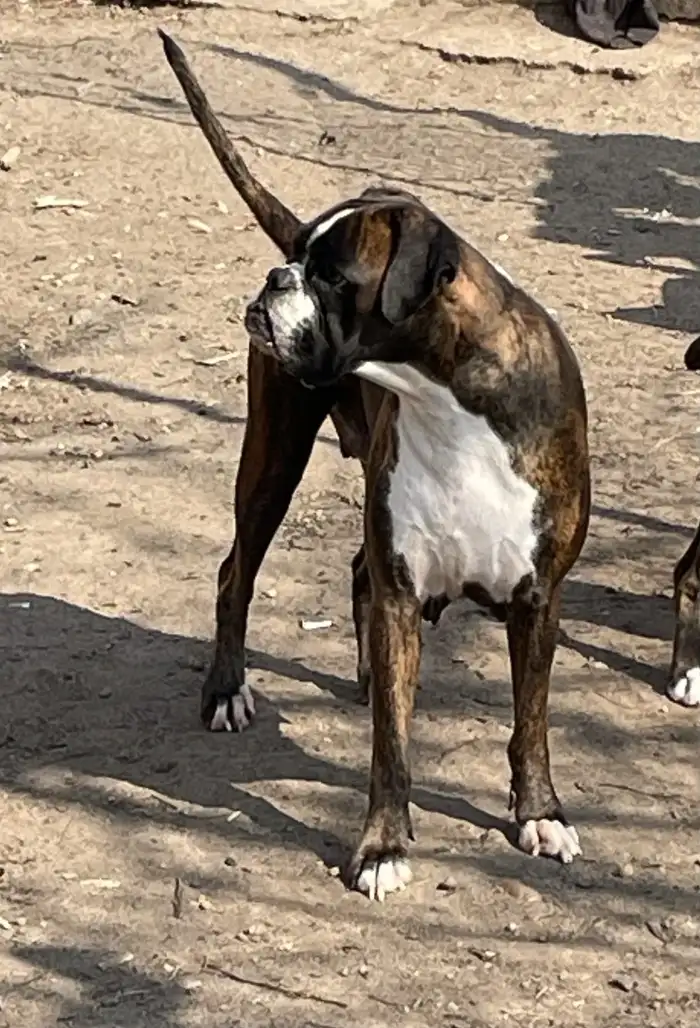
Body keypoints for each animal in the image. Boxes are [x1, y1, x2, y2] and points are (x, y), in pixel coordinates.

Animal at [160, 31, 591, 901]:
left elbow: (530, 721)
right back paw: (227, 689)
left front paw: (540, 814)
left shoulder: (537, 599)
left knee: (347, 571)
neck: (451, 400)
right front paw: (383, 847)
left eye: (331, 275)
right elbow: (392, 747)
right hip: (273, 456)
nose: (275, 278)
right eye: (296, 259)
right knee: (234, 573)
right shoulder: (402, 592)